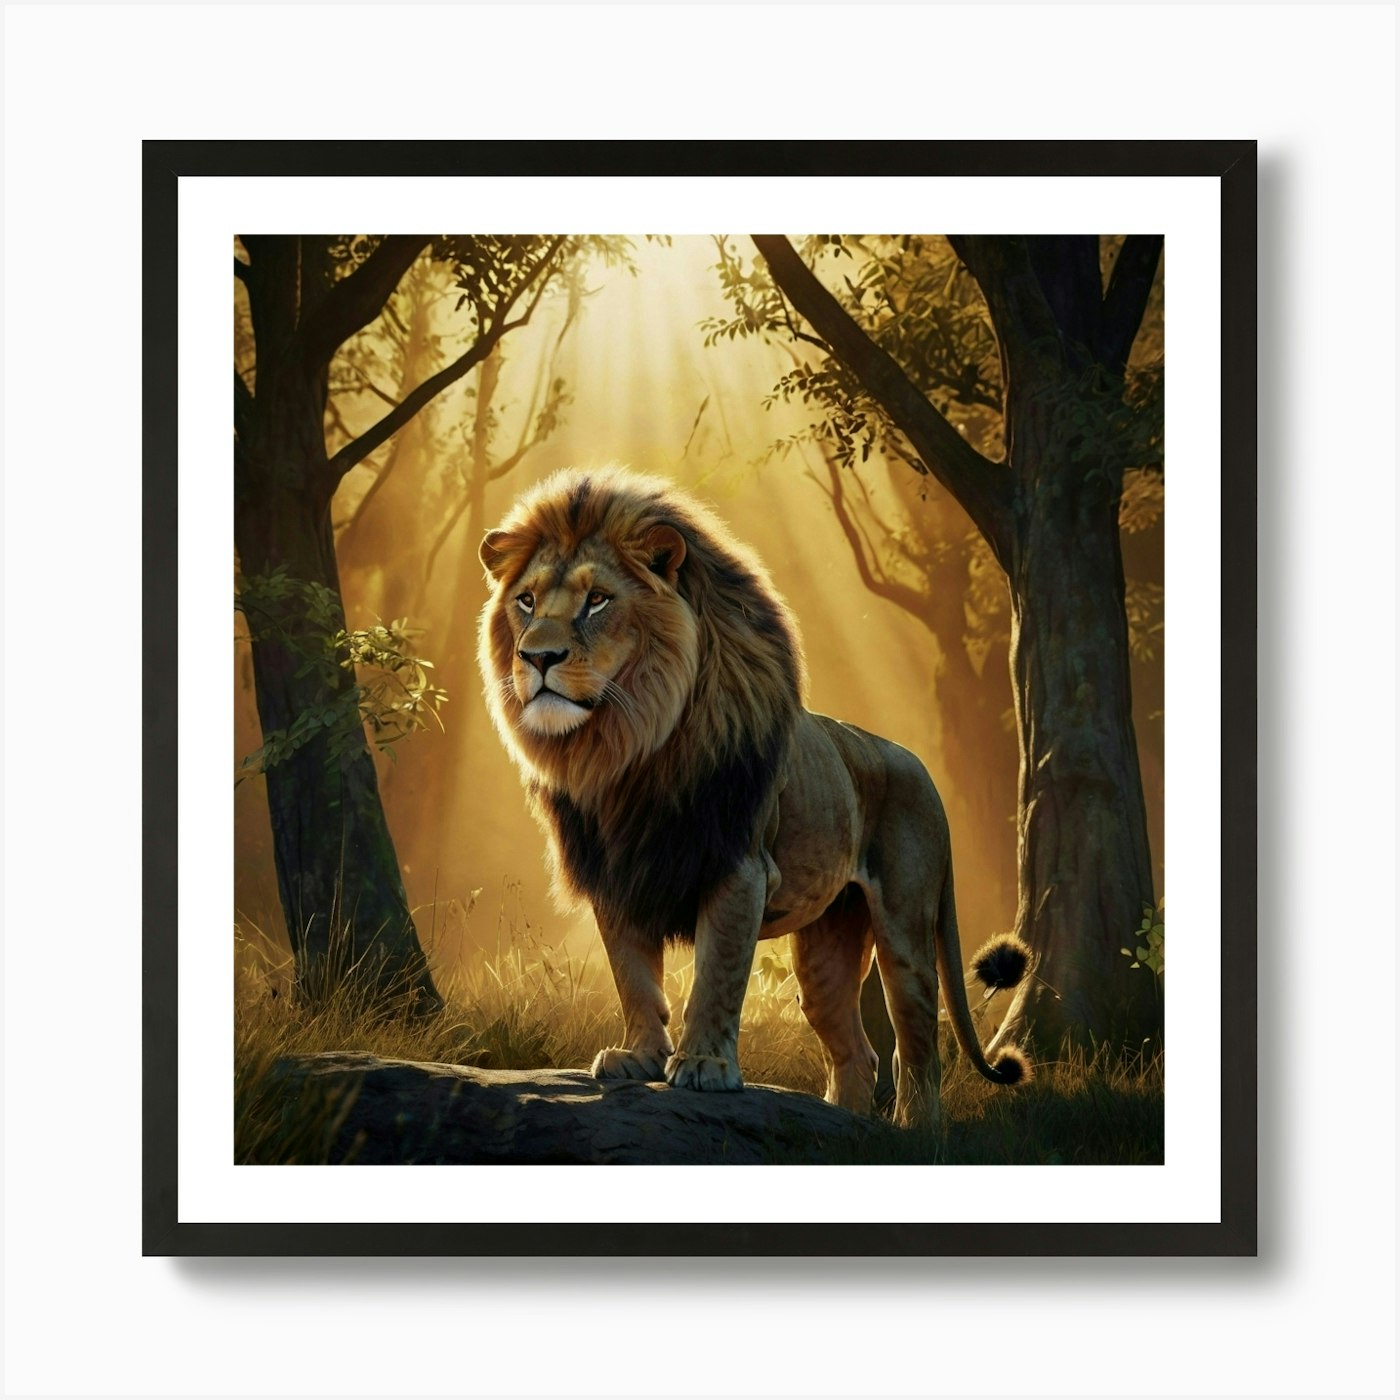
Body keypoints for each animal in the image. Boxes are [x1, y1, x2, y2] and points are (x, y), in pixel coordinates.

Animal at [478, 467, 1030, 1128]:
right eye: (527, 601)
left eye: (598, 600)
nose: (537, 656)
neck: (627, 749)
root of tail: (917, 764)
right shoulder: (618, 873)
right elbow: (632, 976)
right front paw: (638, 1057)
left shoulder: (739, 868)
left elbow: (716, 976)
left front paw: (703, 1066)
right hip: (823, 952)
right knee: (858, 1052)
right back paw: (843, 1130)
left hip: (906, 931)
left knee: (919, 1046)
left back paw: (915, 1132)